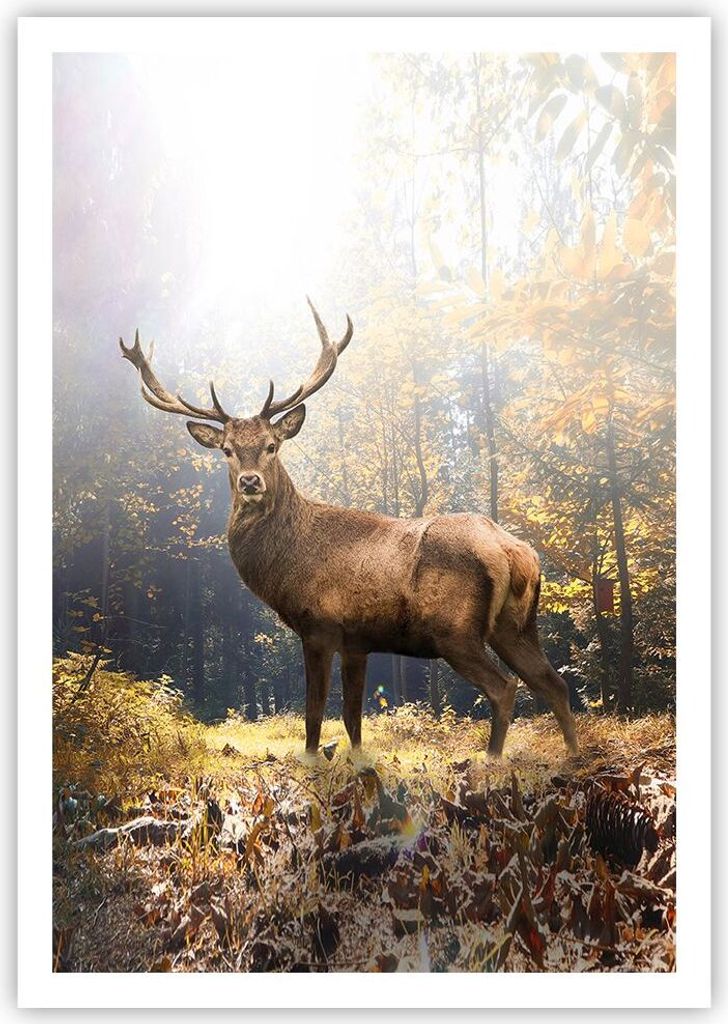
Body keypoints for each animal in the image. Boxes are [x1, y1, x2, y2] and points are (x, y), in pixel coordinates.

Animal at [120, 301, 578, 759]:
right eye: (228, 451)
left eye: (272, 445)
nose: (251, 482)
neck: (286, 564)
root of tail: (514, 550)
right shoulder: (358, 639)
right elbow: (353, 717)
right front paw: (357, 761)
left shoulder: (319, 625)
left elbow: (314, 712)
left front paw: (311, 760)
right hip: (516, 625)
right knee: (554, 682)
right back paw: (573, 754)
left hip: (456, 629)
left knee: (506, 687)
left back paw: (491, 759)